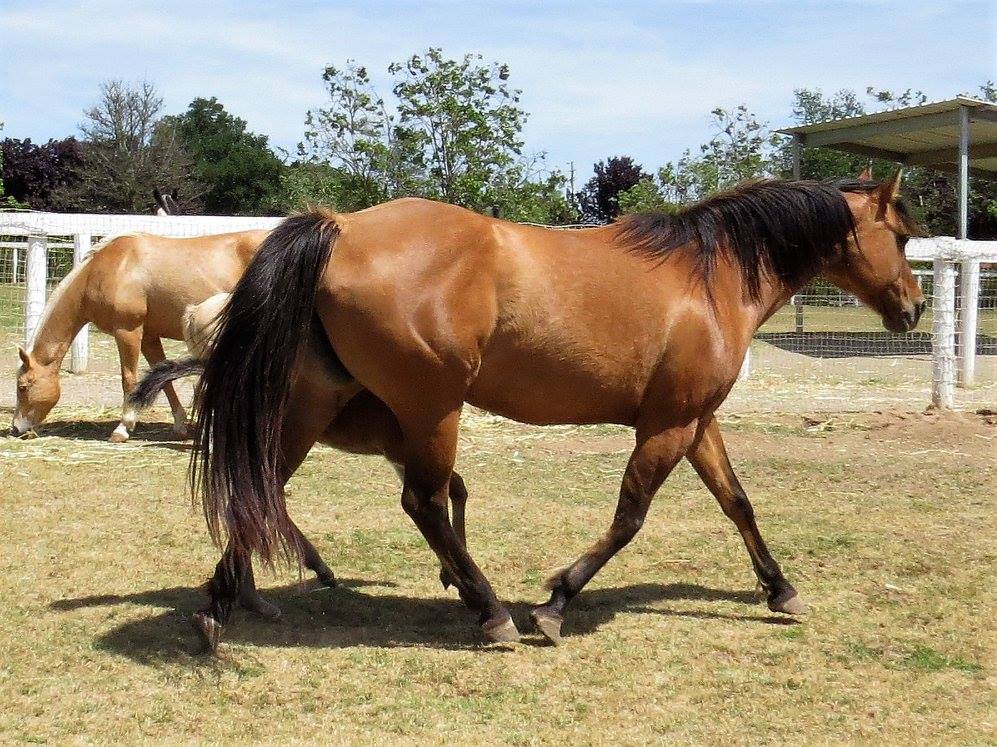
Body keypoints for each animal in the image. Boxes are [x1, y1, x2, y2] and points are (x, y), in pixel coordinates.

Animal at [11, 230, 266, 441]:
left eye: (22, 387)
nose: (15, 428)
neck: (112, 267)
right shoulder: (149, 337)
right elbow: (163, 378)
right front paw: (180, 425)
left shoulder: (128, 331)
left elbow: (129, 379)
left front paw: (123, 427)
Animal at [129, 293, 473, 644]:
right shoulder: (399, 450)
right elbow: (447, 492)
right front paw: (457, 578)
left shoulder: (399, 455)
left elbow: (456, 489)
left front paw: (454, 574)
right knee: (259, 501)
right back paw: (271, 589)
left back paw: (263, 592)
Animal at [186, 172, 925, 650]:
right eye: (902, 237)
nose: (914, 308)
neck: (708, 280)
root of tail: (340, 228)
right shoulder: (667, 426)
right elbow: (629, 517)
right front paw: (555, 603)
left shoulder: (695, 422)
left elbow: (737, 502)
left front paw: (779, 588)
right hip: (431, 410)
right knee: (423, 503)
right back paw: (490, 613)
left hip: (318, 402)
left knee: (262, 486)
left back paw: (219, 606)